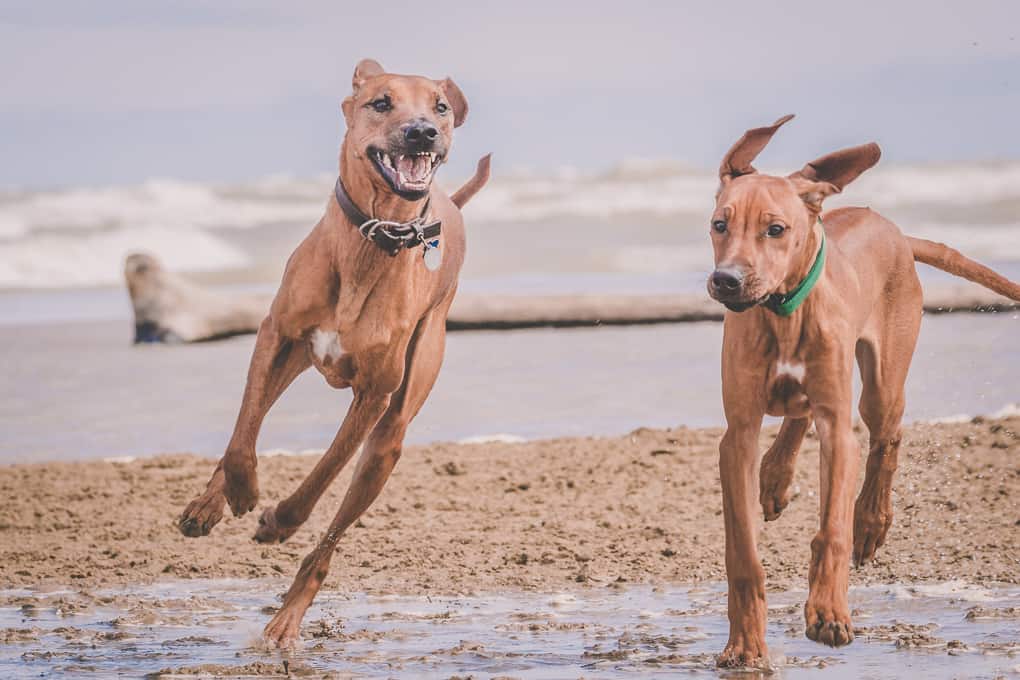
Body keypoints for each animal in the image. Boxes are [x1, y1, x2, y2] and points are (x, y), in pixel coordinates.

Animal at [179, 59, 489, 648]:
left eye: (439, 107)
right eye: (381, 102)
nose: (422, 132)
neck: (373, 236)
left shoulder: (374, 394)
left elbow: (324, 471)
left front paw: (277, 519)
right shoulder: (274, 336)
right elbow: (241, 437)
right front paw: (238, 492)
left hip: (390, 438)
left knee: (330, 538)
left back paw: (287, 616)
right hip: (297, 360)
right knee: (248, 425)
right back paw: (208, 506)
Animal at [705, 114, 1020, 668]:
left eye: (775, 229)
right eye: (720, 224)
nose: (726, 281)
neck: (783, 313)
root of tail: (894, 230)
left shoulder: (838, 430)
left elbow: (833, 528)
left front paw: (829, 613)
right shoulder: (737, 435)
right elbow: (743, 552)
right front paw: (745, 643)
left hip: (882, 382)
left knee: (886, 437)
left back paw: (872, 520)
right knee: (799, 413)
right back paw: (776, 475)